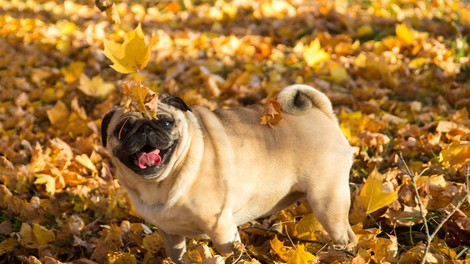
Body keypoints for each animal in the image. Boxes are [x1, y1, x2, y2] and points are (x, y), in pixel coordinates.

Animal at [102, 85, 356, 262]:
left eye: (165, 123)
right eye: (123, 129)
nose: (145, 128)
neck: (160, 183)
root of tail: (322, 112)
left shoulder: (221, 229)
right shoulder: (170, 233)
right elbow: (178, 256)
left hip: (327, 202)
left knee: (347, 236)